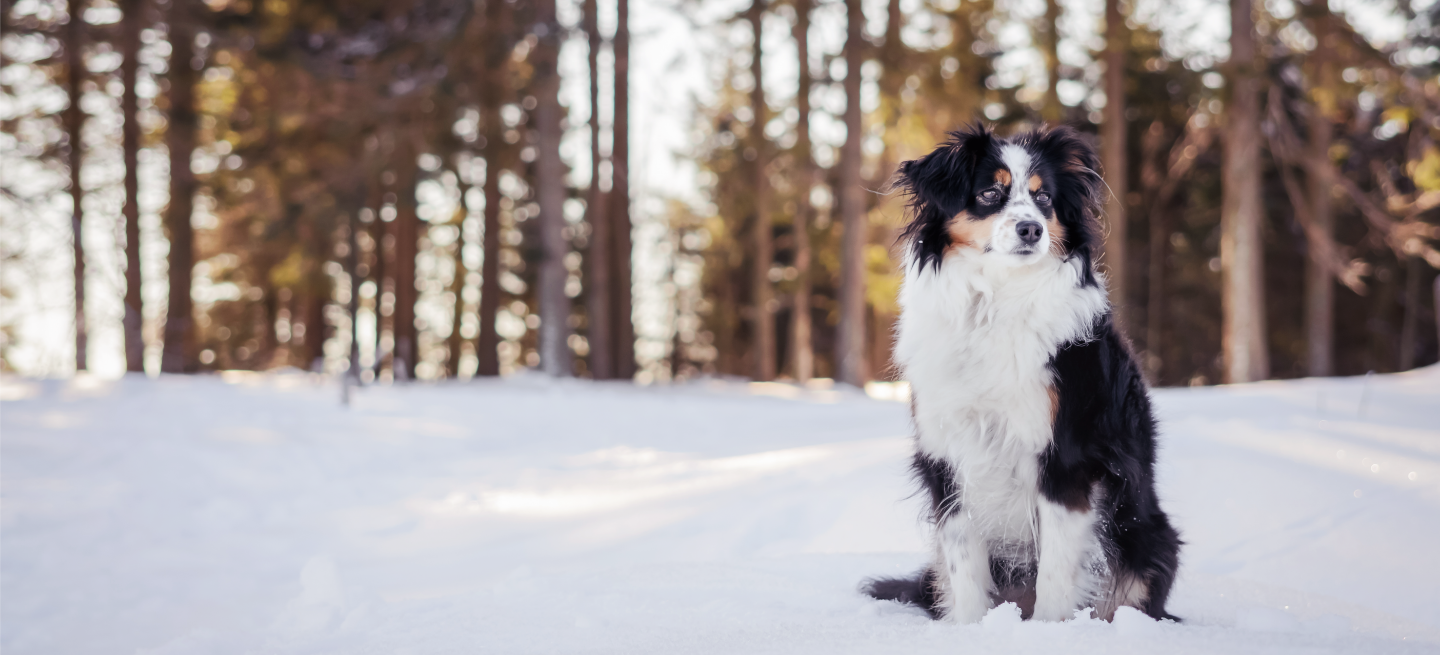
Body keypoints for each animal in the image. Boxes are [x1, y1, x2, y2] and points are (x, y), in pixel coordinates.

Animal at [864, 124, 1180, 624]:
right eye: (989, 193)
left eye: (1044, 197)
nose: (1031, 228)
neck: (996, 300)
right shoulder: (949, 455)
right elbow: (965, 572)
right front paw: (971, 630)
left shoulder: (1067, 458)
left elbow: (1056, 573)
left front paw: (1048, 631)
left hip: (1150, 541)